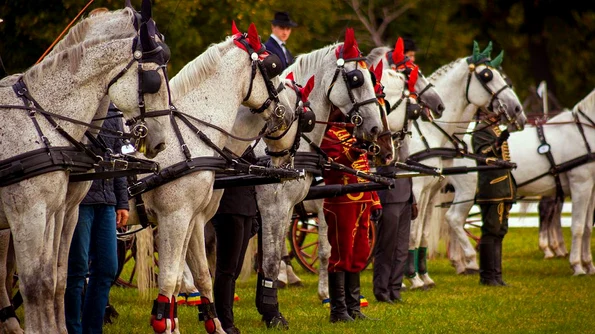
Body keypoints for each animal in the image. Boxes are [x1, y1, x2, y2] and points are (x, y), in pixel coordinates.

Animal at [0, 3, 172, 332]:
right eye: (153, 80)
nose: (159, 141)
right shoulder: (28, 212)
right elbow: (35, 283)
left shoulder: (59, 210)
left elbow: (54, 277)